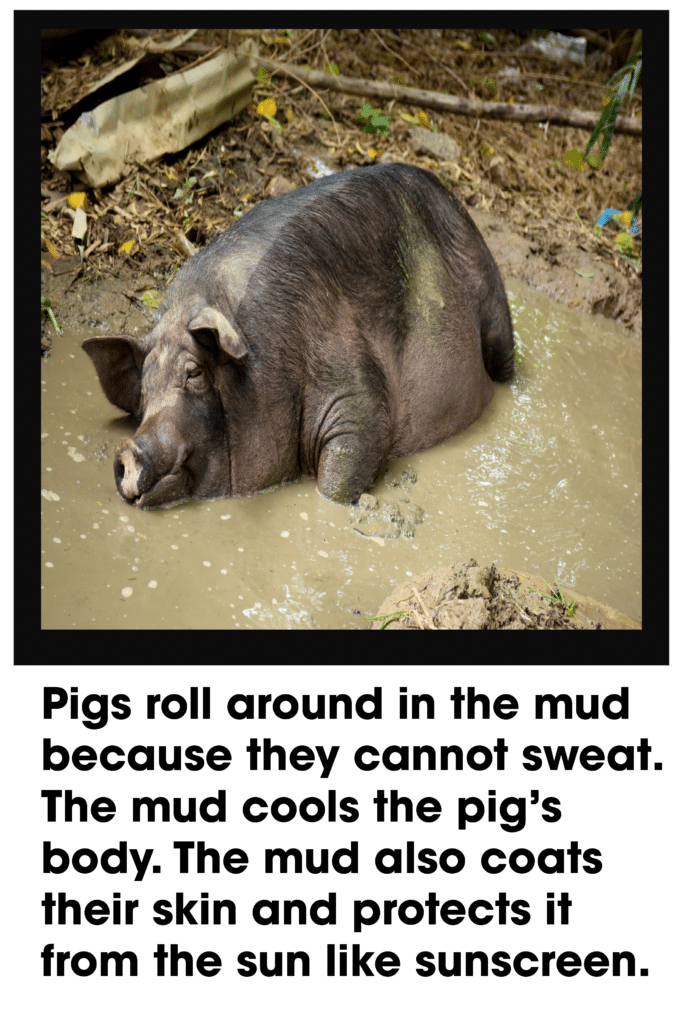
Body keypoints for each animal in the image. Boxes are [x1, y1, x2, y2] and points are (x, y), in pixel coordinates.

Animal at [82, 162, 514, 507]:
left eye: (195, 374)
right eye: (144, 391)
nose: (127, 450)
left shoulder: (354, 393)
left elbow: (348, 463)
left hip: (493, 300)